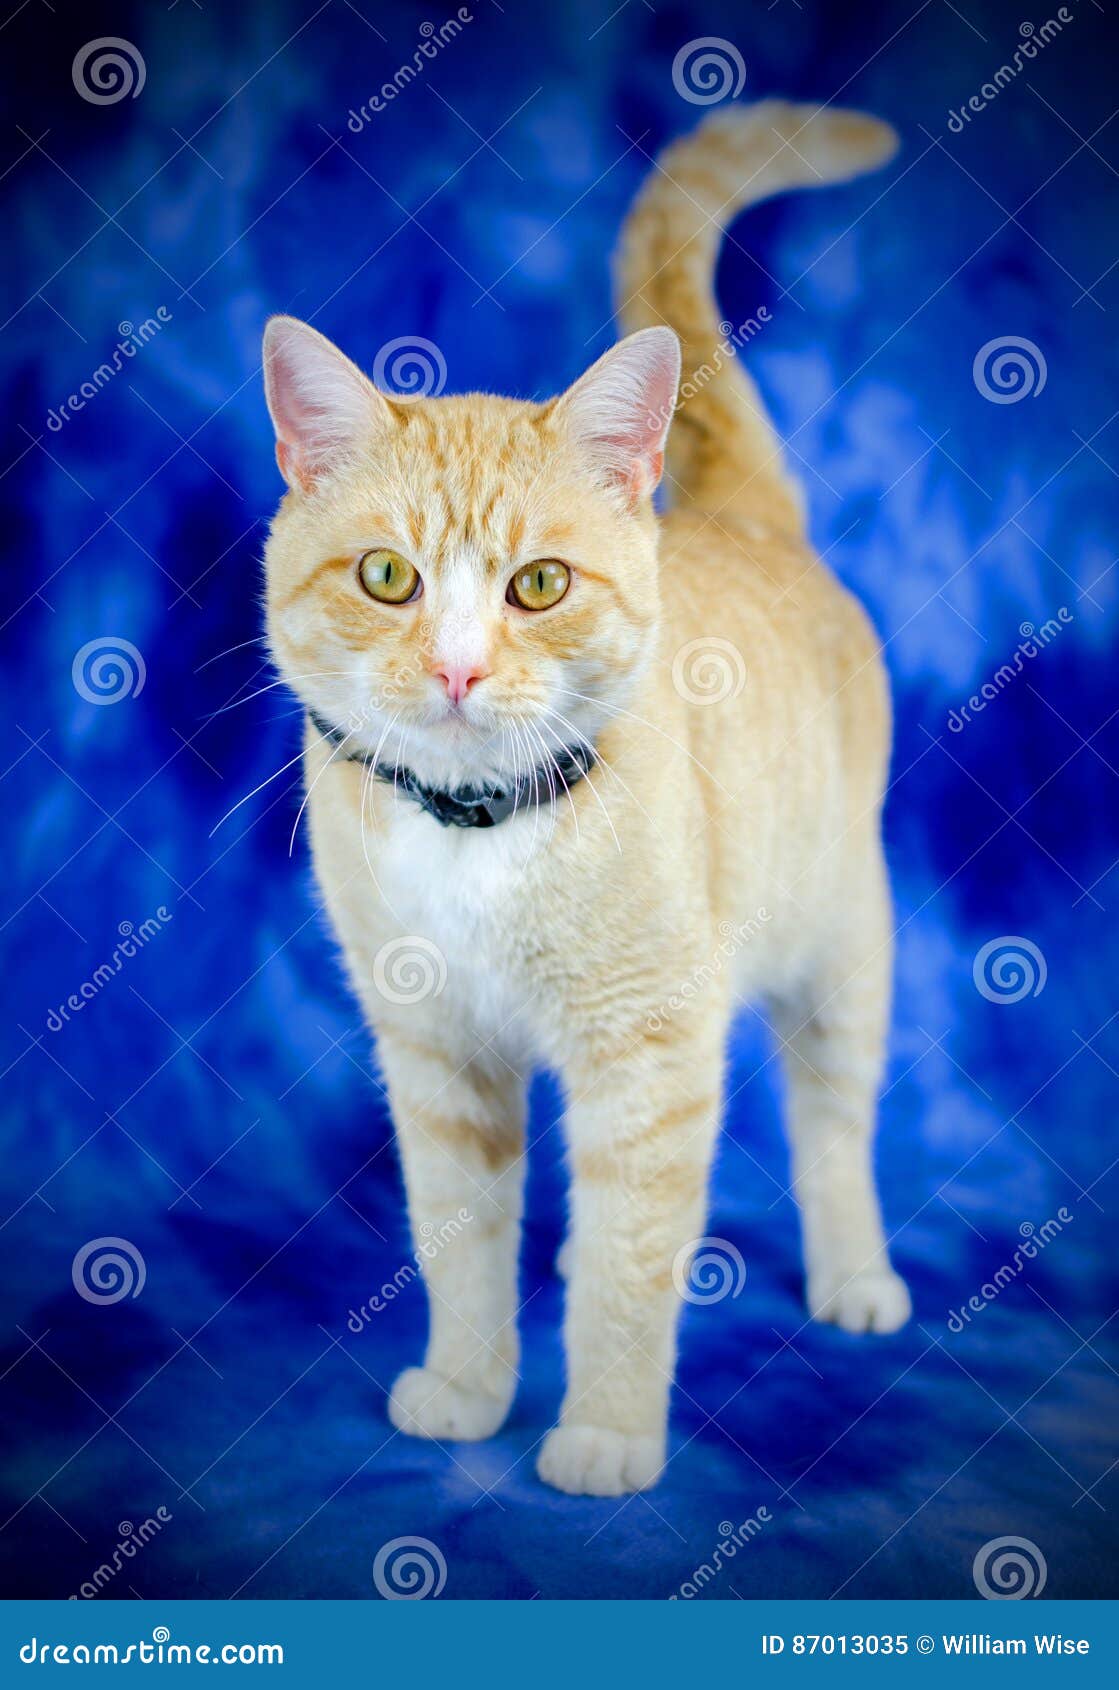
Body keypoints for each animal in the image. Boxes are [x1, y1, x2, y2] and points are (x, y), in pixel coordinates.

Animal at [263, 98, 912, 1493]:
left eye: (540, 586)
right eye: (389, 576)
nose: (457, 667)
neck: (476, 831)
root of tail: (747, 517)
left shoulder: (650, 1053)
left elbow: (630, 1259)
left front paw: (606, 1430)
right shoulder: (437, 1055)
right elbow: (461, 1240)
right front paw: (469, 1387)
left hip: (844, 942)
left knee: (833, 1127)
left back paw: (857, 1275)